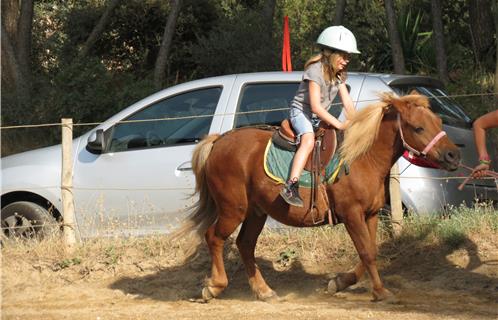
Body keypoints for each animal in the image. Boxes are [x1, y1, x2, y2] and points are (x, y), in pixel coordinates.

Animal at [173, 92, 462, 302]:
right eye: (418, 127)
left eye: (438, 123)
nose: (453, 155)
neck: (362, 158)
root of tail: (218, 141)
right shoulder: (352, 214)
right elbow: (367, 252)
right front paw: (380, 292)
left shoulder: (369, 215)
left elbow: (370, 252)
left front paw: (340, 283)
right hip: (233, 209)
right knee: (214, 237)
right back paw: (214, 286)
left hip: (256, 212)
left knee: (245, 244)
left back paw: (263, 291)